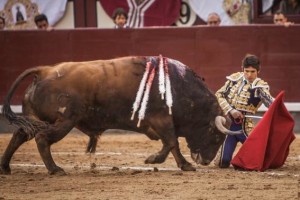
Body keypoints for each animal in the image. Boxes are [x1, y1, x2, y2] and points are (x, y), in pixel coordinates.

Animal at [0, 55, 237, 174]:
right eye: (217, 136)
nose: (205, 161)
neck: (179, 86)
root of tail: (44, 71)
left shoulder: (161, 123)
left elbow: (172, 144)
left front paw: (183, 165)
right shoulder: (161, 119)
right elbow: (171, 142)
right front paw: (155, 159)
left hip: (38, 120)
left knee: (19, 136)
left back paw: (5, 167)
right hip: (65, 121)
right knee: (41, 138)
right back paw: (55, 169)